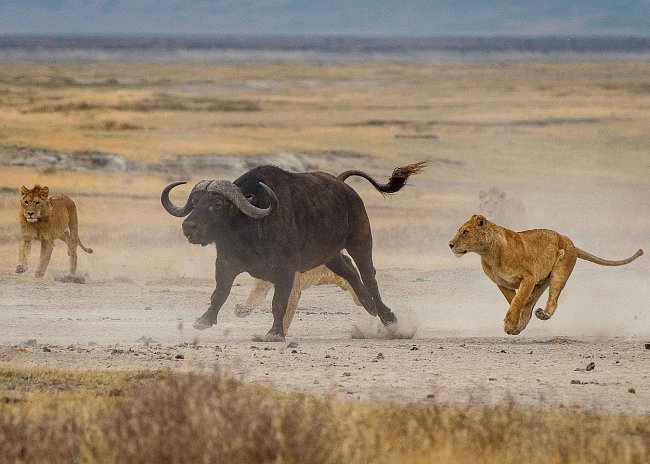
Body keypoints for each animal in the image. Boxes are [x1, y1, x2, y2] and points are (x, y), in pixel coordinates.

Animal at [161, 160, 426, 340]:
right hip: (329, 254)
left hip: (360, 240)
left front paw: (275, 333)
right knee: (349, 270)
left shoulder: (285, 271)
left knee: (369, 275)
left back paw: (389, 319)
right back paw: (369, 305)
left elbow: (279, 302)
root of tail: (343, 184)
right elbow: (219, 293)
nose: (189, 227)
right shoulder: (226, 263)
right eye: (195, 203)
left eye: (216, 204)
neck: (252, 225)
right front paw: (203, 321)